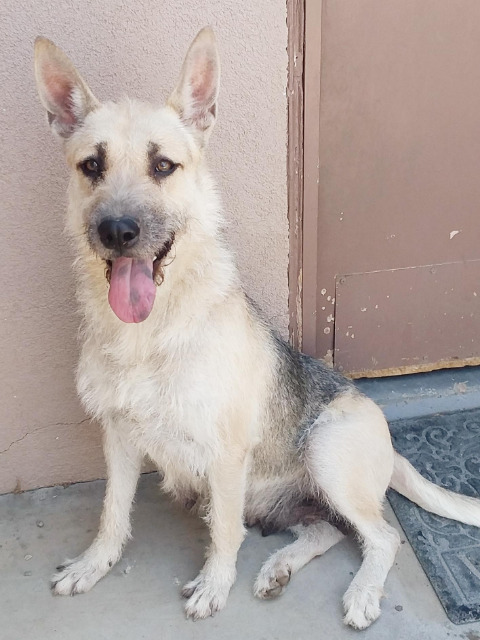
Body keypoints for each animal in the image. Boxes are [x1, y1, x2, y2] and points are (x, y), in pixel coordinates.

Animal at [32, 27, 480, 628]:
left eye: (163, 166)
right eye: (91, 166)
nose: (118, 231)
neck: (151, 332)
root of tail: (386, 440)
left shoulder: (225, 455)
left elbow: (223, 532)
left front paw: (214, 586)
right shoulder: (119, 436)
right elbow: (112, 513)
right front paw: (93, 564)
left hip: (325, 450)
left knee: (382, 537)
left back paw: (362, 592)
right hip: (293, 498)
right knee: (326, 532)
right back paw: (280, 567)